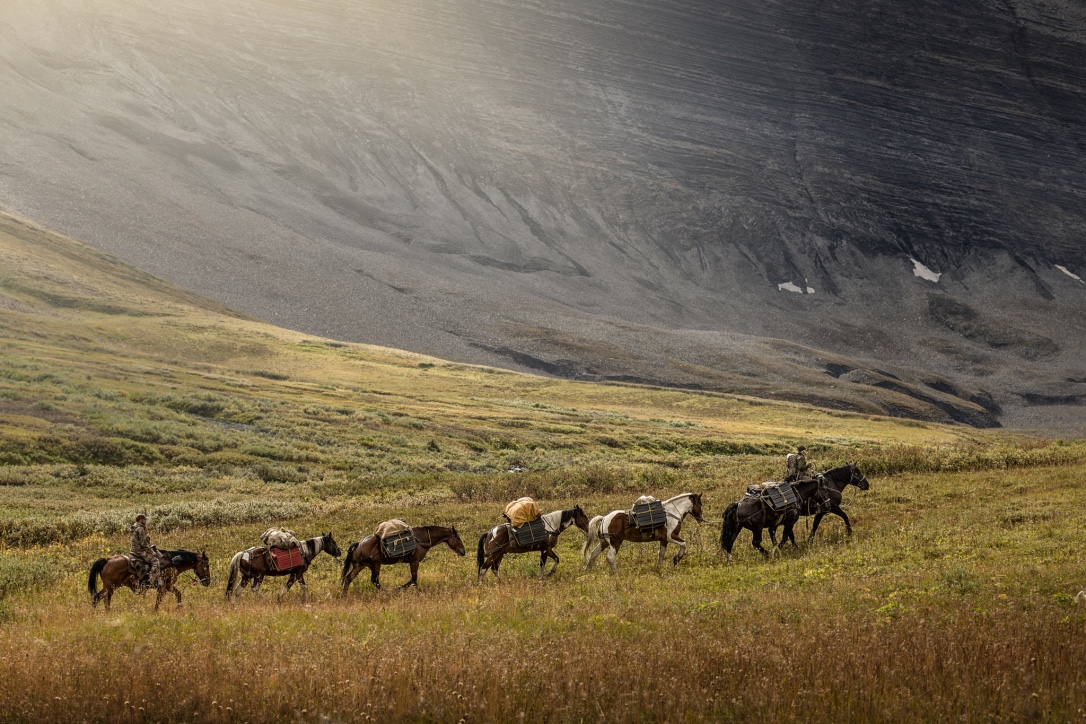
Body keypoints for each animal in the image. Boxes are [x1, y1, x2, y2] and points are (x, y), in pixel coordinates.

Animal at [338, 527, 466, 594]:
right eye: (458, 538)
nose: (463, 552)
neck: (421, 539)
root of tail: (359, 544)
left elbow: (413, 579)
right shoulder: (414, 561)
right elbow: (414, 579)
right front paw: (402, 589)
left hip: (360, 566)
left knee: (348, 579)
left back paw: (344, 595)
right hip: (375, 565)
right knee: (374, 581)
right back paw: (387, 593)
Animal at [721, 464, 873, 560]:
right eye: (857, 472)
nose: (866, 484)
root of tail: (738, 504)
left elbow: (790, 534)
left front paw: (798, 546)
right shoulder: (828, 509)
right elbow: (838, 518)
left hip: (737, 527)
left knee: (730, 542)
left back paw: (730, 559)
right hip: (756, 529)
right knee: (755, 542)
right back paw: (768, 554)